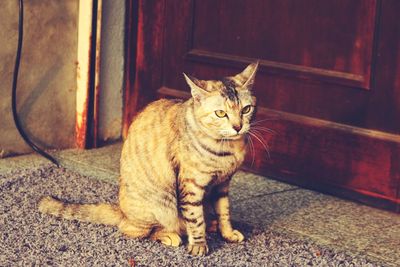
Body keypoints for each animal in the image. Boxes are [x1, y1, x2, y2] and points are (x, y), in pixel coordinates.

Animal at [39, 61, 260, 256]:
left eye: (246, 109)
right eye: (221, 113)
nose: (238, 126)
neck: (228, 149)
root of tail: (122, 211)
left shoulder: (223, 183)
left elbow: (224, 211)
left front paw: (227, 233)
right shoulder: (191, 184)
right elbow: (195, 218)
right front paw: (198, 244)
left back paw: (211, 224)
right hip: (160, 204)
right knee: (136, 229)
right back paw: (171, 235)